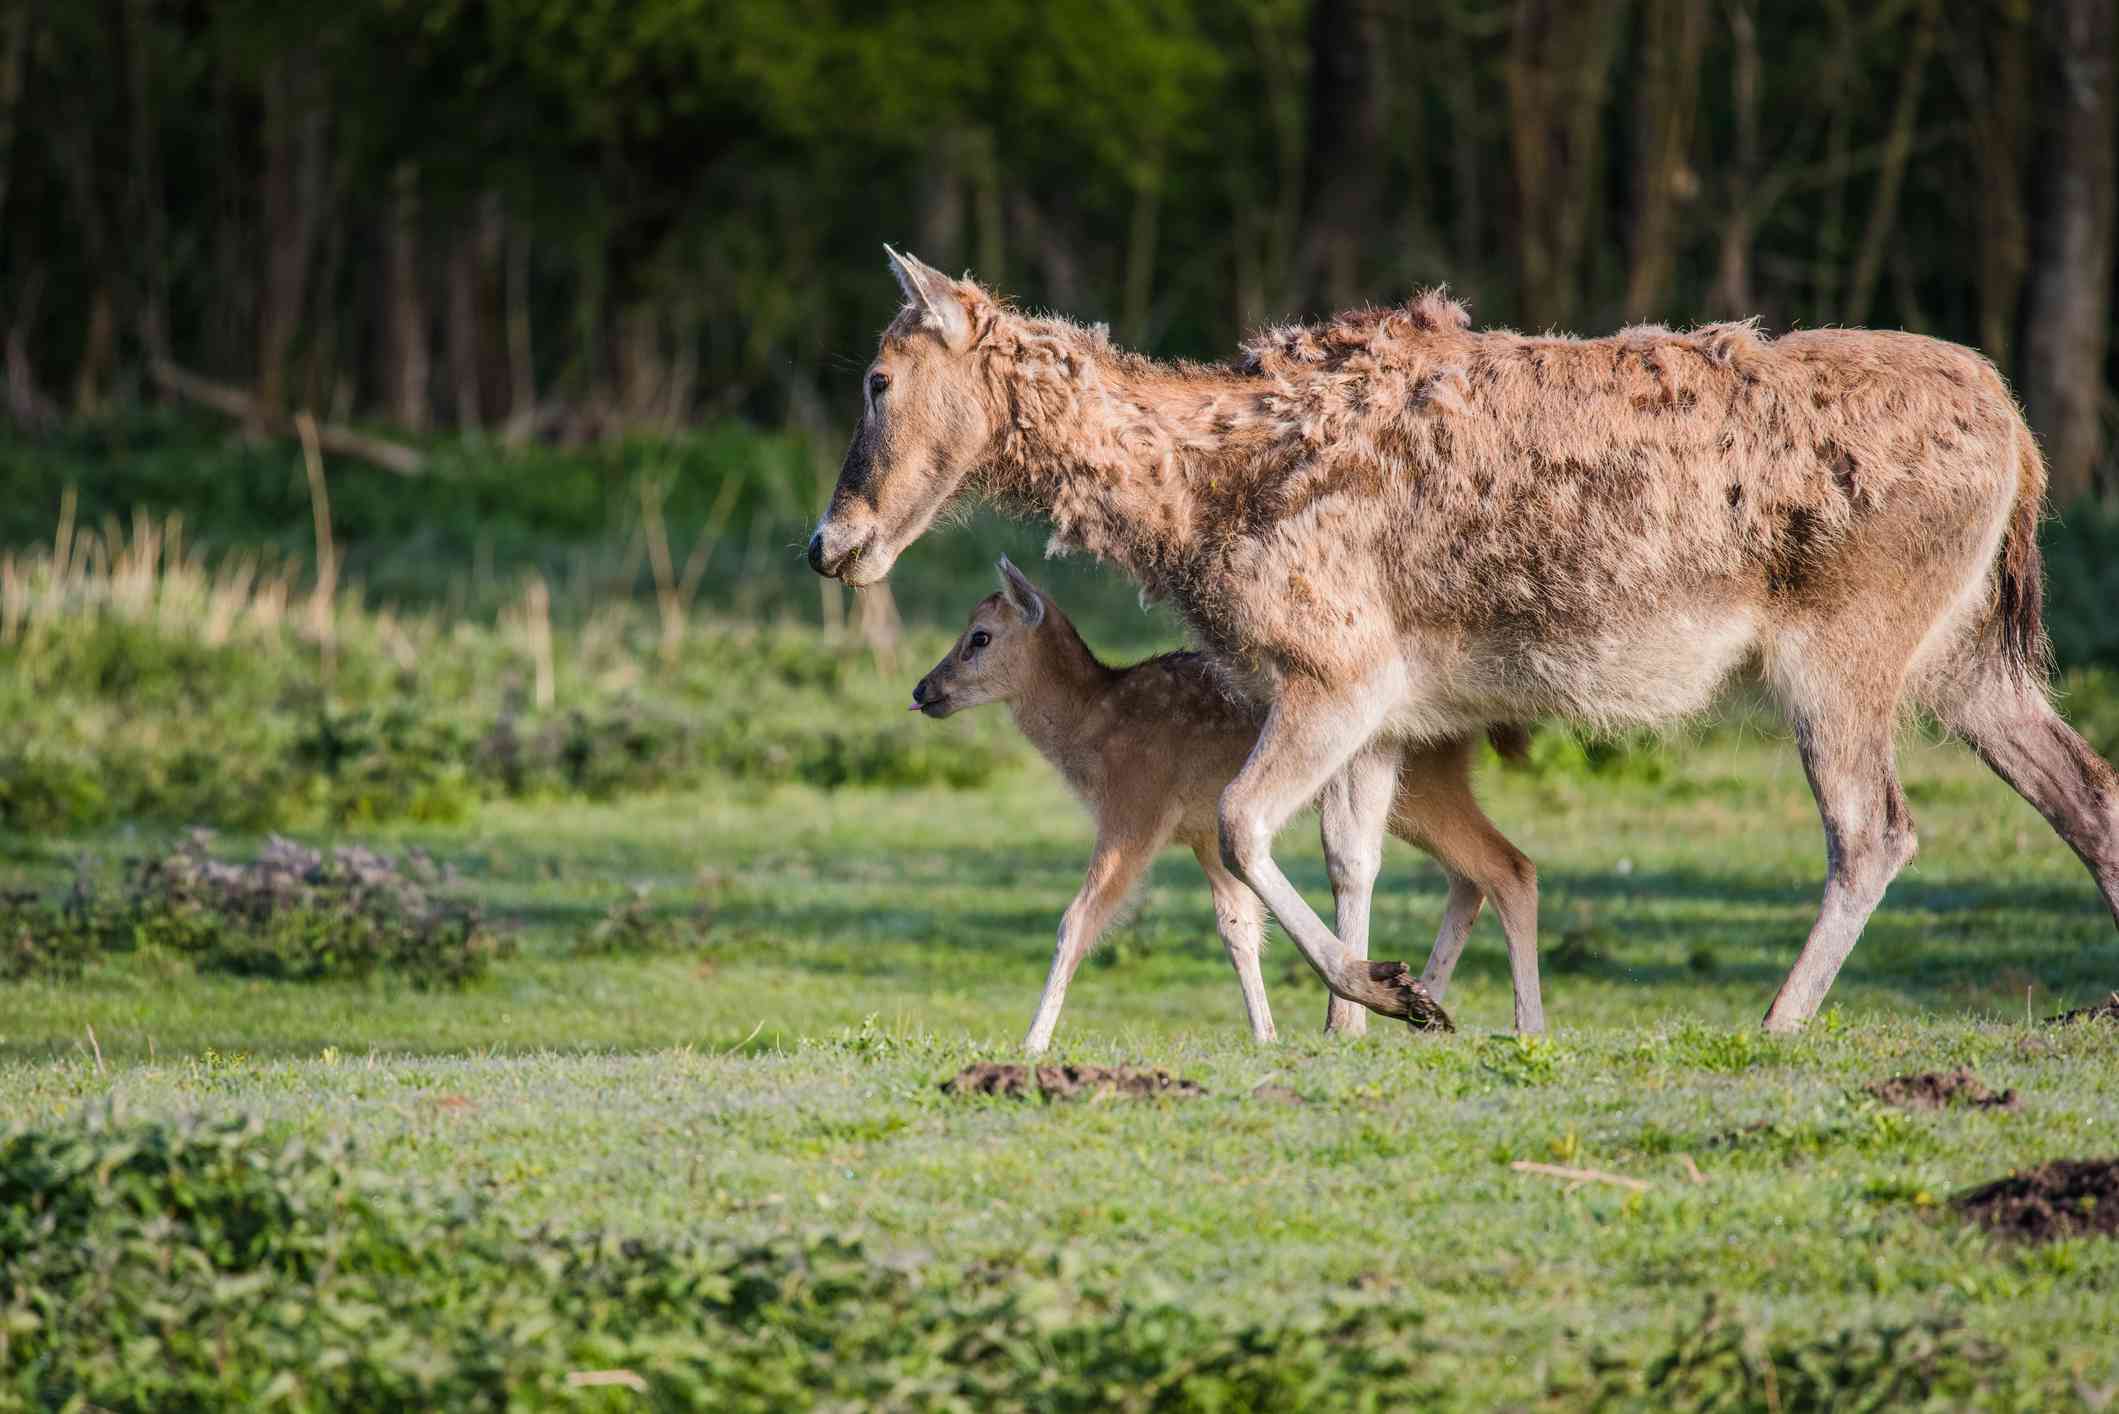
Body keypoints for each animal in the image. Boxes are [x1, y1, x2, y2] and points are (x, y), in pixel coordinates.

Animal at [809, 249, 2119, 1034]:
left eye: (875, 377)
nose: (830, 540)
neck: (1199, 510)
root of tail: (2021, 440)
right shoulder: (1382, 702)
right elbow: (1349, 852)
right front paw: (1347, 1024)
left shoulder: (1334, 662)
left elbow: (1239, 824)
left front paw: (1386, 993)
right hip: (1970, 654)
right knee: (2082, 787)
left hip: (1848, 643)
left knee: (1874, 827)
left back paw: (1777, 1020)